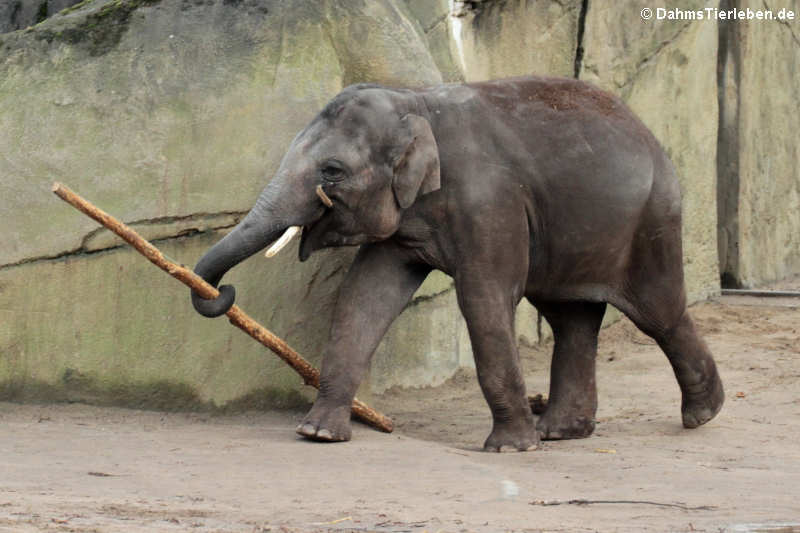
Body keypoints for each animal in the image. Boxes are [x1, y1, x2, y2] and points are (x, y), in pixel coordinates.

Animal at [189, 74, 724, 448]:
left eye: (332, 171)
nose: (224, 291)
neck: (415, 101)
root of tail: (646, 128)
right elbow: (366, 296)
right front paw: (317, 434)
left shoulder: (489, 202)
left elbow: (485, 300)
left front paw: (509, 449)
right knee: (569, 318)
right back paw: (560, 432)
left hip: (652, 215)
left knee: (658, 312)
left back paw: (703, 415)